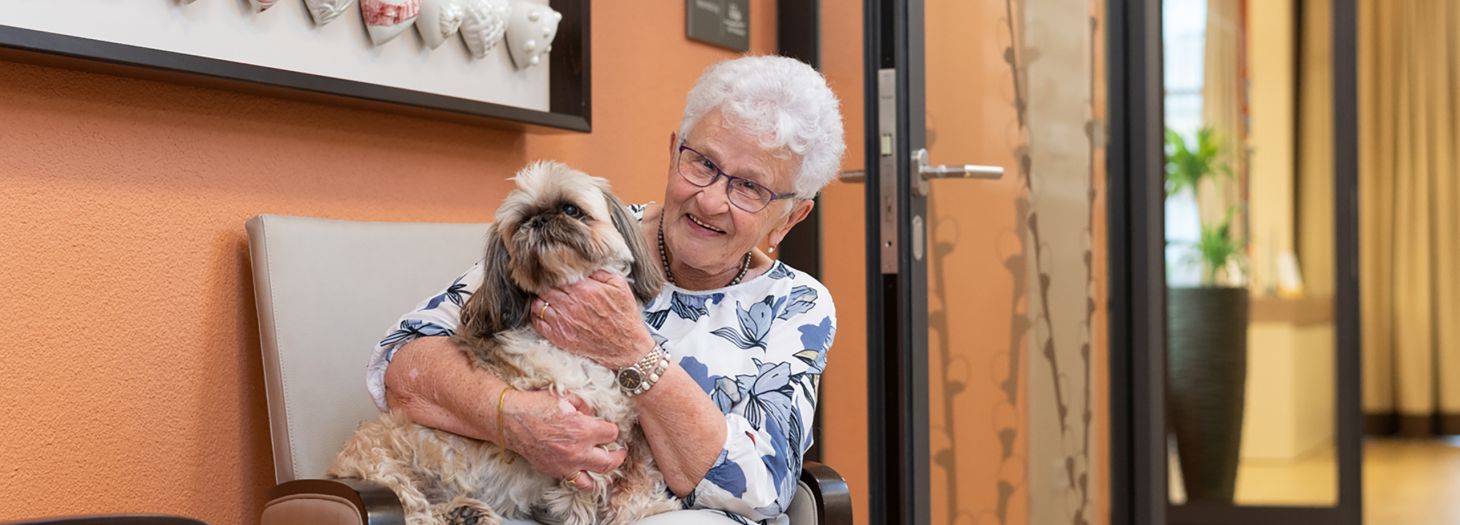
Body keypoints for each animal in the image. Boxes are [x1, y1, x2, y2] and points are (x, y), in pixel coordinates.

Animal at [331, 161, 677, 525]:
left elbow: (634, 472)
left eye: (571, 209)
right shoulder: (581, 431)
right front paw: (584, 514)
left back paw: (464, 512)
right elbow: (584, 487)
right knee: (415, 510)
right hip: (385, 464)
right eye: (521, 221)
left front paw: (645, 505)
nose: (539, 221)